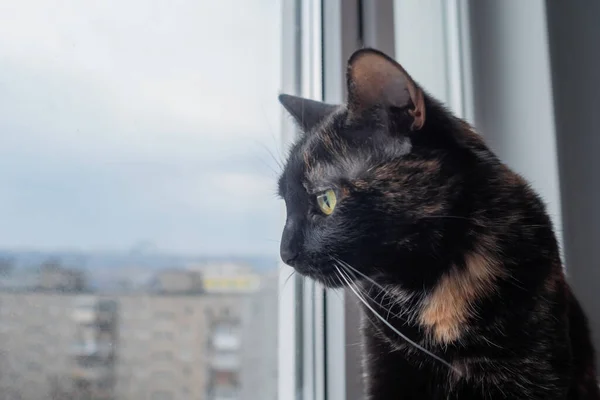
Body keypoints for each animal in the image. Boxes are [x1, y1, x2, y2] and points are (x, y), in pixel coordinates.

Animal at [276, 47, 600, 400]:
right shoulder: (385, 364)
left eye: (326, 200)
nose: (285, 253)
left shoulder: (536, 367)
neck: (432, 286)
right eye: (285, 202)